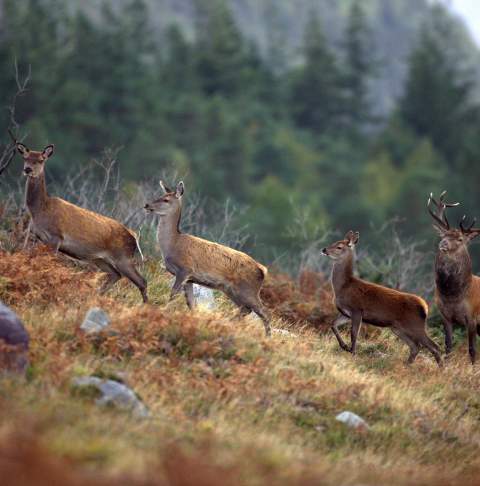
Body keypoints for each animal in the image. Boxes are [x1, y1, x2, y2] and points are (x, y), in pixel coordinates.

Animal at [12, 139, 147, 302]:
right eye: (25, 157)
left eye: (40, 160)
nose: (28, 169)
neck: (40, 210)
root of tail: (134, 235)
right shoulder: (38, 237)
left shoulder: (56, 236)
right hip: (100, 259)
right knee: (116, 275)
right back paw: (95, 296)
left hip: (123, 257)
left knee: (141, 281)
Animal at [142, 180, 272, 336]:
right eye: (160, 195)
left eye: (166, 199)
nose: (147, 205)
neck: (172, 244)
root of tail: (262, 270)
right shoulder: (190, 278)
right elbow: (191, 303)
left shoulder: (185, 269)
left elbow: (173, 294)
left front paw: (163, 312)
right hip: (232, 290)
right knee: (246, 309)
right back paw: (228, 323)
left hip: (248, 289)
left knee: (264, 312)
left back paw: (267, 337)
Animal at [322, 231, 442, 364]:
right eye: (334, 242)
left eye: (339, 247)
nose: (324, 249)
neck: (343, 287)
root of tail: (425, 307)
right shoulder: (346, 313)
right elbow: (333, 324)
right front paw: (344, 346)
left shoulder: (357, 310)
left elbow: (354, 334)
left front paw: (352, 352)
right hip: (397, 328)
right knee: (415, 346)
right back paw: (407, 365)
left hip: (415, 325)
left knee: (434, 346)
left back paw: (441, 367)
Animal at [428, 192, 480, 362]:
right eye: (443, 235)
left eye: (460, 239)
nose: (443, 243)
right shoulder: (445, 315)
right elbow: (448, 345)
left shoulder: (472, 316)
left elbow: (472, 350)